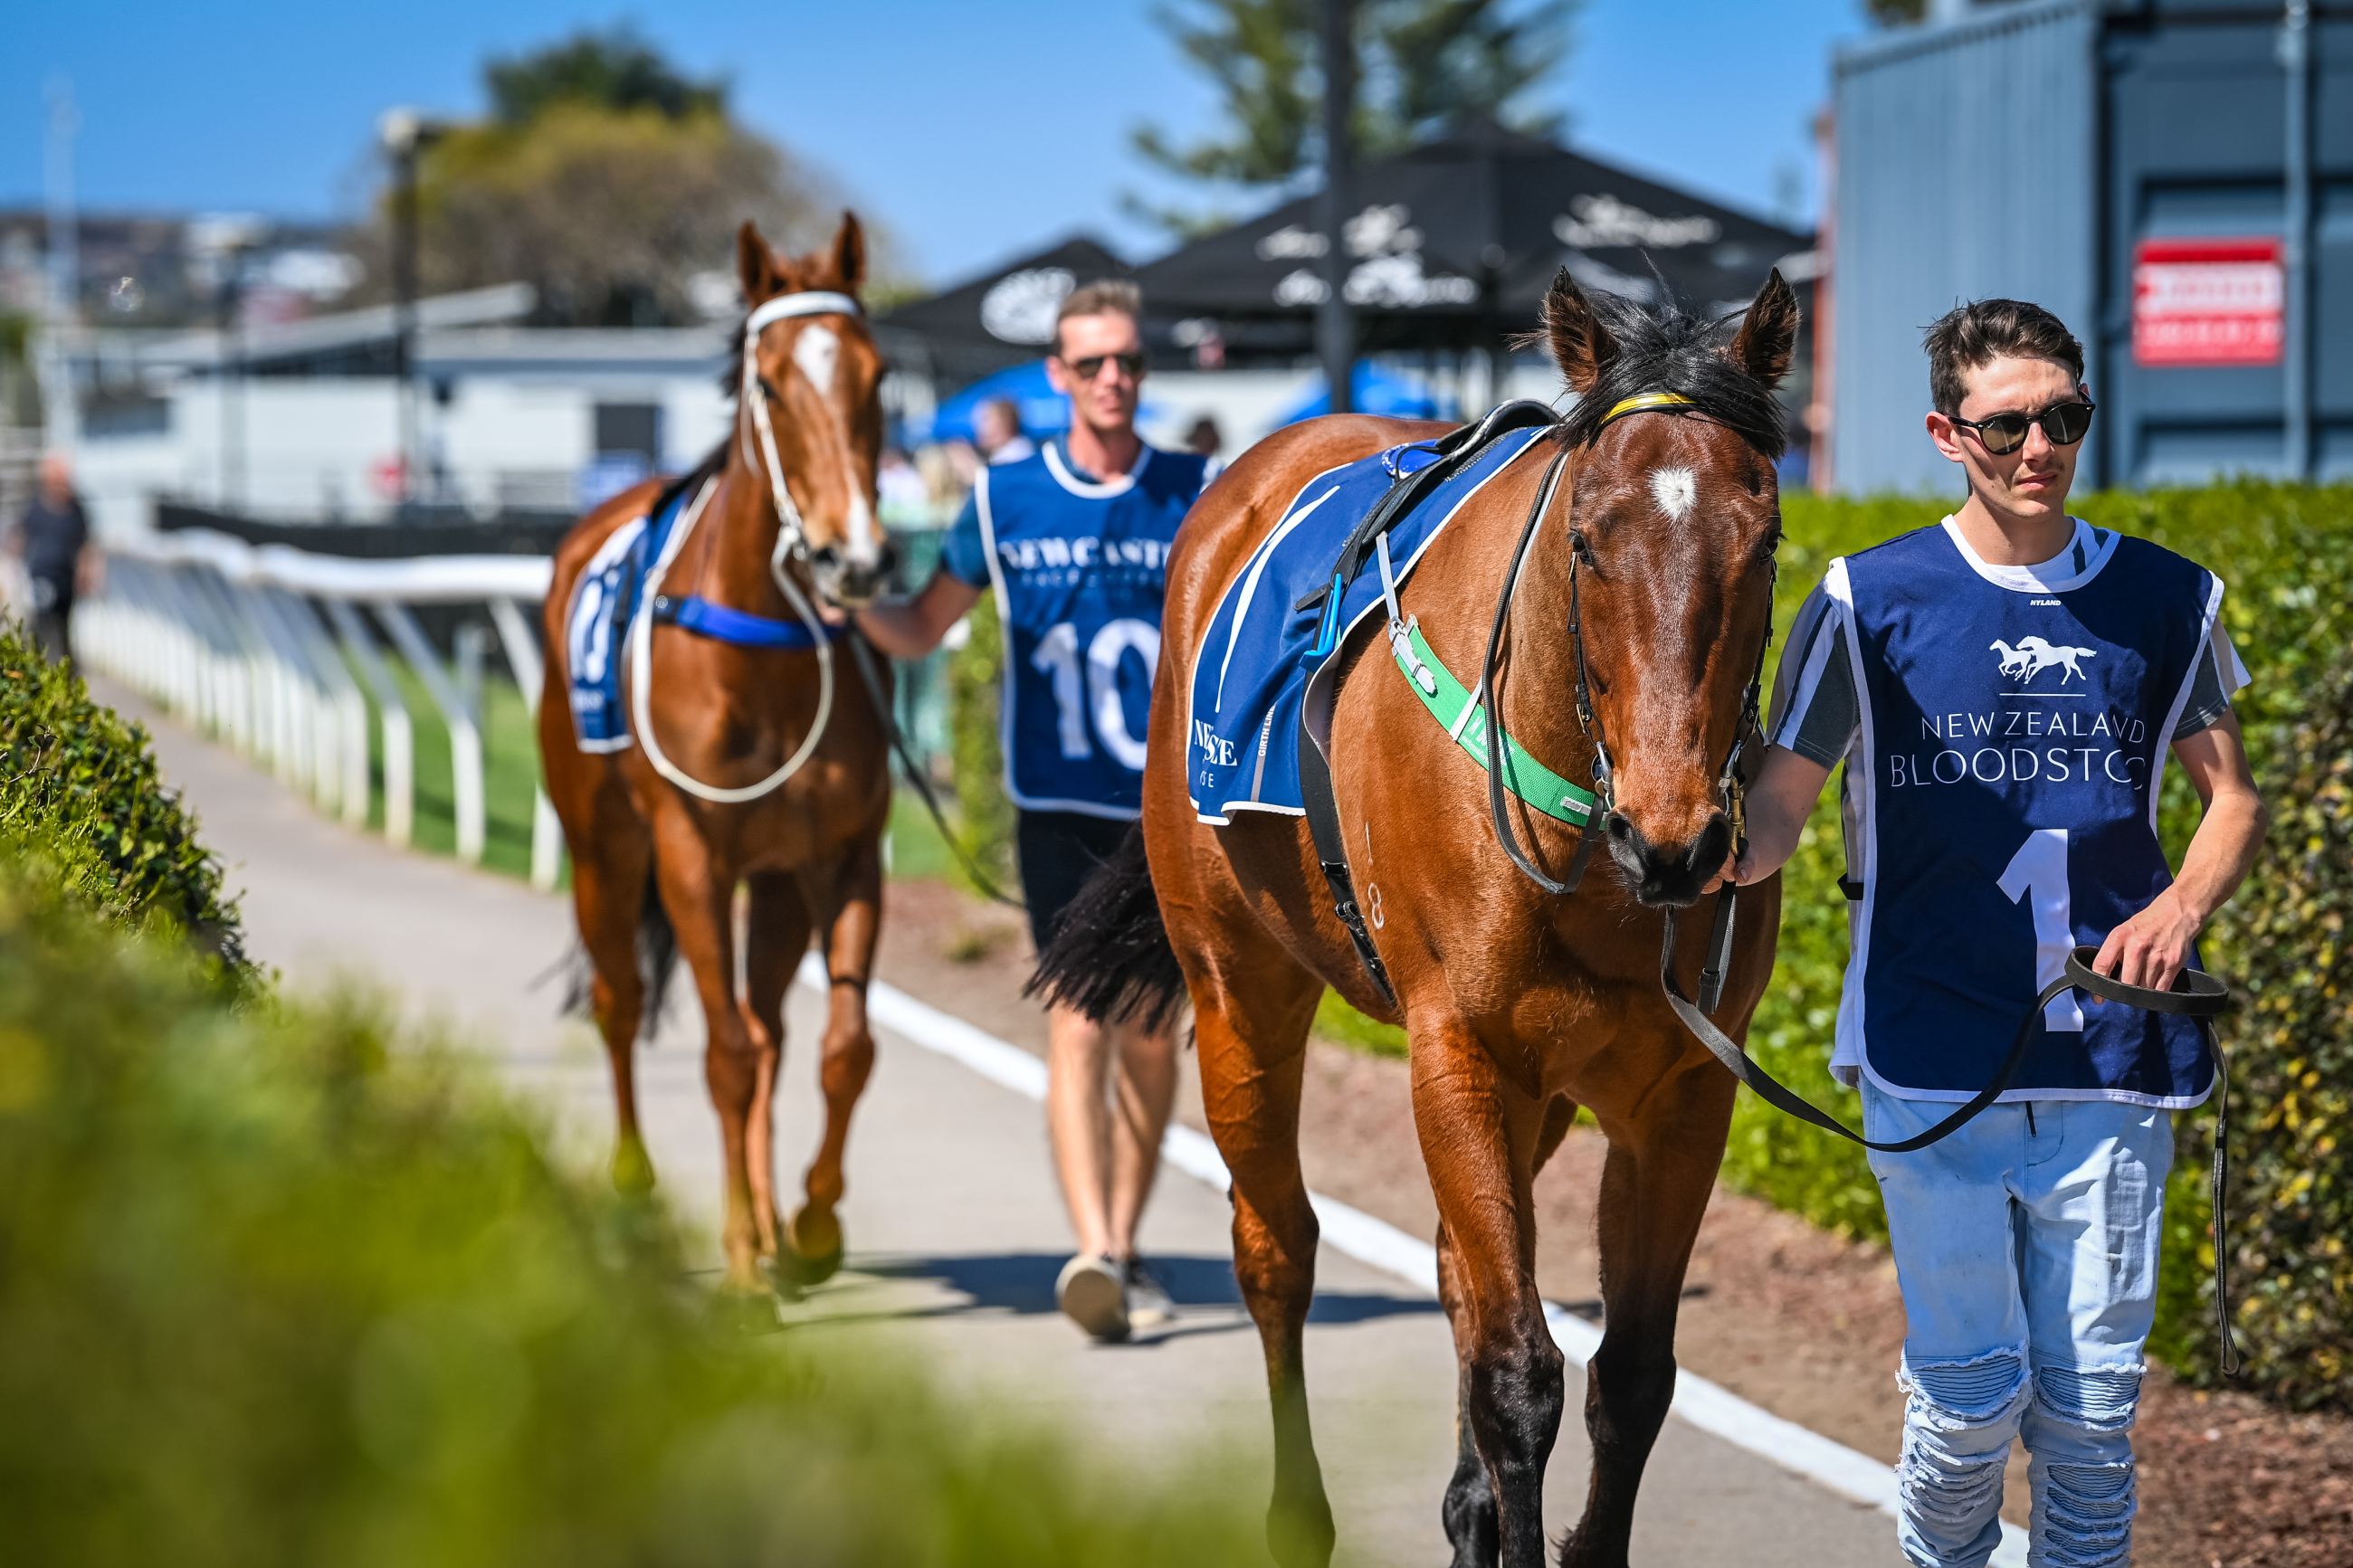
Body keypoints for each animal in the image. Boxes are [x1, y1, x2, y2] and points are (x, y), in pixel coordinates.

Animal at [538, 221, 893, 1297]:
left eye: (878, 376)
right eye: (769, 385)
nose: (854, 559)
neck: (763, 657)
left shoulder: (842, 856)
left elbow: (841, 1047)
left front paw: (809, 1225)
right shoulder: (691, 857)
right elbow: (724, 1055)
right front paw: (740, 1269)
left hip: (773, 881)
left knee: (771, 1021)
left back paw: (777, 1223)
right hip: (605, 852)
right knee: (620, 1002)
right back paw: (636, 1188)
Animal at [1040, 272, 1787, 1568]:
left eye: (1766, 540)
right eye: (1584, 538)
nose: (1677, 837)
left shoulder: (1680, 1088)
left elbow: (1630, 1372)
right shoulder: (1462, 1051)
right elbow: (1516, 1375)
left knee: (1452, 1266)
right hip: (1240, 992)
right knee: (1275, 1250)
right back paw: (1298, 1511)